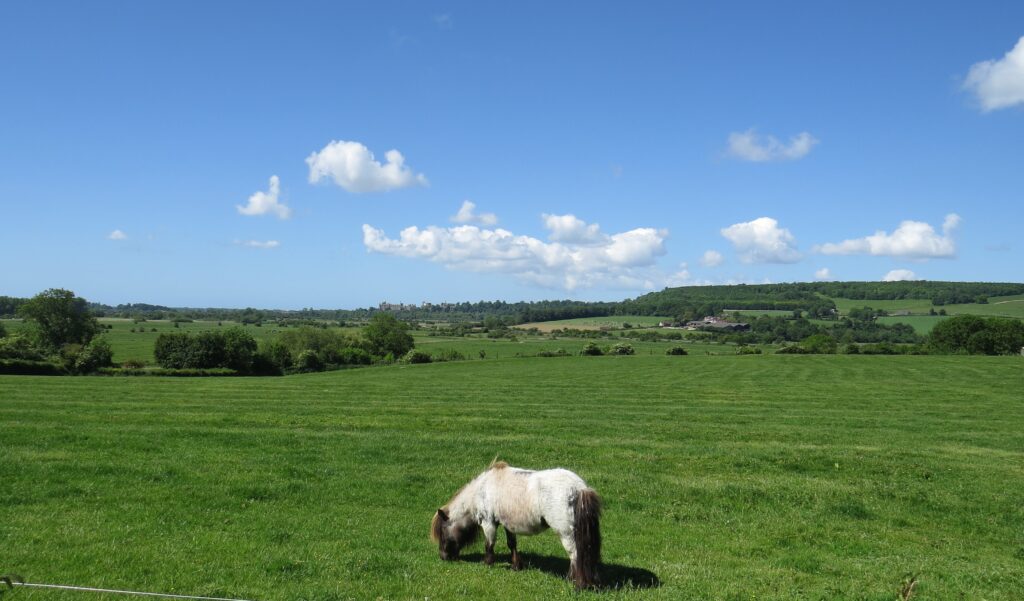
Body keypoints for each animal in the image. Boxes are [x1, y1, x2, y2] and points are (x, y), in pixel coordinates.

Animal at [430, 462, 602, 589]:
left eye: (443, 531)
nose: (443, 556)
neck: (482, 489)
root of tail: (579, 488)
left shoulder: (489, 523)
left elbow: (489, 545)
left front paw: (488, 563)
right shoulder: (508, 524)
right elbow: (511, 544)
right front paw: (516, 565)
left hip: (566, 533)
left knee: (575, 555)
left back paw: (575, 582)